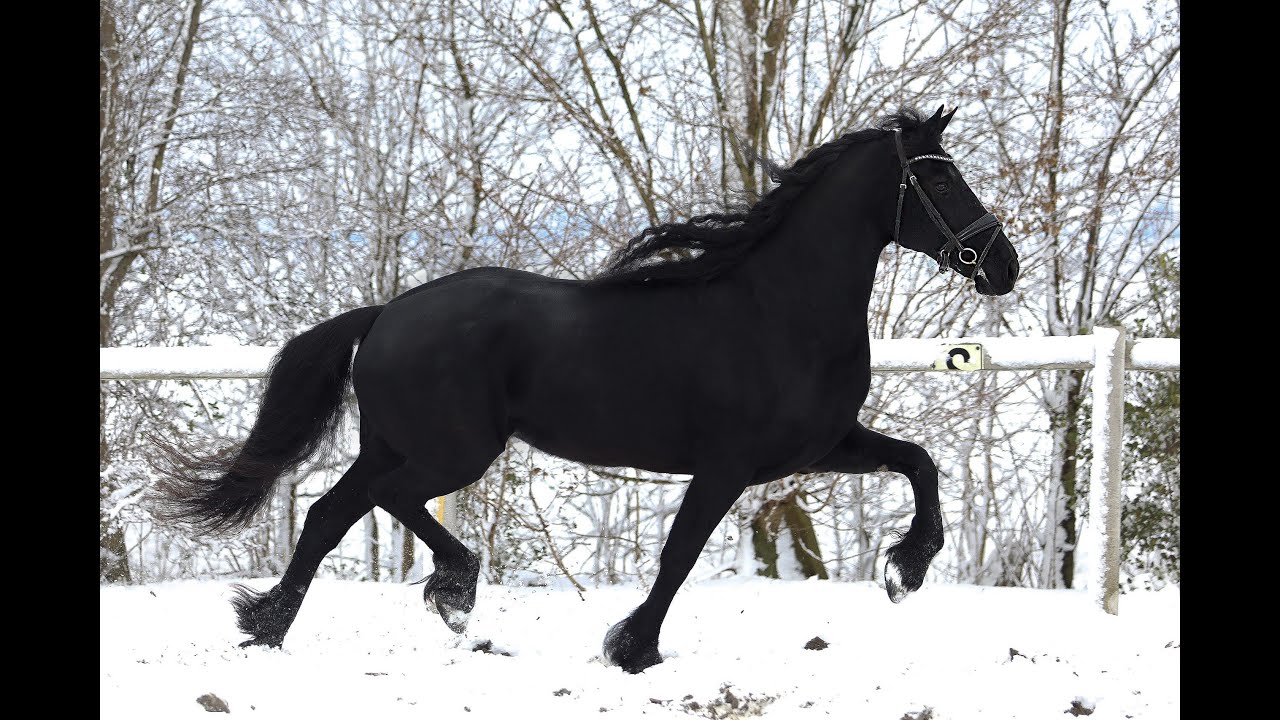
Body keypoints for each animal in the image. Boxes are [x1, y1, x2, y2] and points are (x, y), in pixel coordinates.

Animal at [151, 106, 1020, 674]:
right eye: (942, 182)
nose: (1002, 265)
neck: (779, 309)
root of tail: (386, 313)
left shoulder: (820, 446)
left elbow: (919, 461)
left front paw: (906, 571)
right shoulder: (729, 467)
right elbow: (679, 556)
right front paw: (633, 649)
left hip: (395, 445)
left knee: (331, 514)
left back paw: (269, 625)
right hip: (451, 452)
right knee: (384, 504)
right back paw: (450, 594)